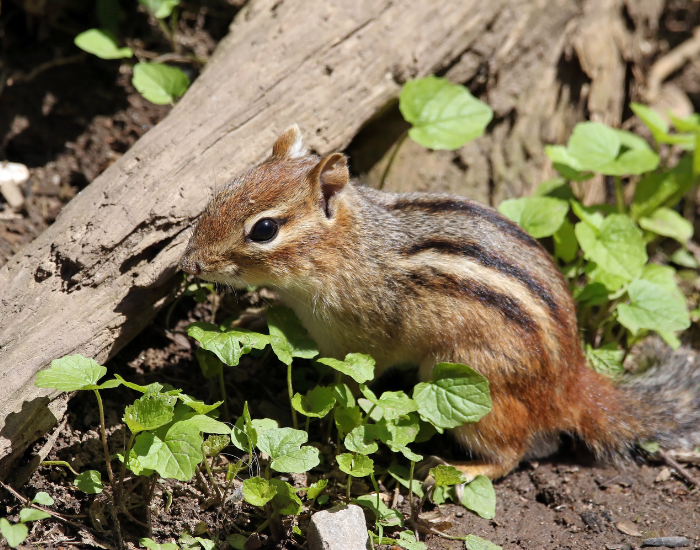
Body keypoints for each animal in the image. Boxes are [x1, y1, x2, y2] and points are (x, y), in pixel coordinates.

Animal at [179, 125, 700, 481]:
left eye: (264, 229)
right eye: (224, 190)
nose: (188, 264)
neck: (351, 249)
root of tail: (570, 383)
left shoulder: (358, 343)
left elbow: (349, 379)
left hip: (471, 383)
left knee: (516, 453)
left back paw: (463, 471)